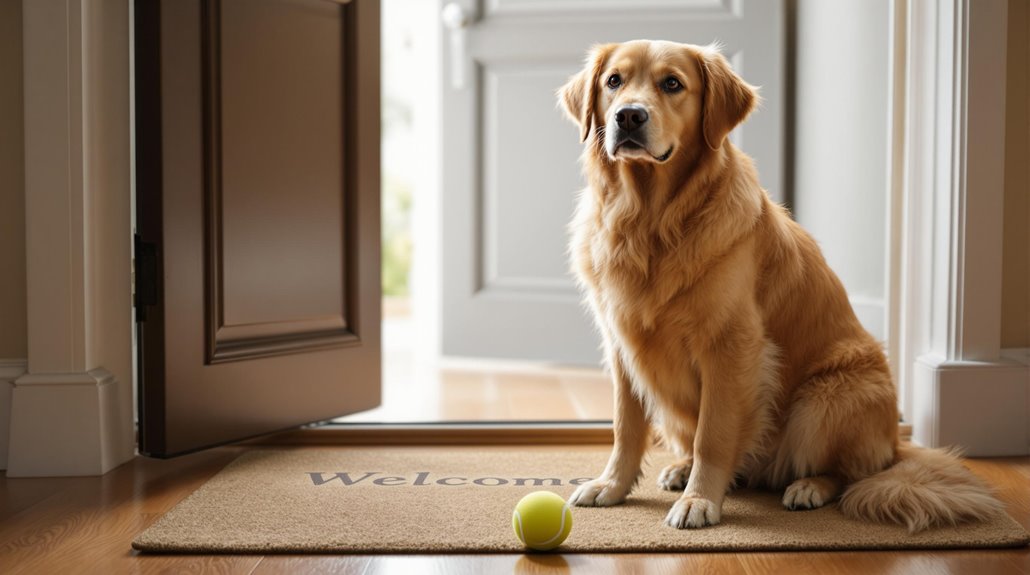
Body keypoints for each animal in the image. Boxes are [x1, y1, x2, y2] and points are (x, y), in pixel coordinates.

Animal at [560, 40, 1001, 535]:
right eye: (613, 82)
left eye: (672, 83)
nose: (629, 117)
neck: (648, 220)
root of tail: (894, 445)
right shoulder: (623, 344)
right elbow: (625, 427)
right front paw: (611, 485)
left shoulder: (732, 345)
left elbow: (713, 434)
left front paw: (699, 500)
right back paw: (682, 468)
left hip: (829, 395)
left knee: (847, 473)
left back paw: (808, 487)